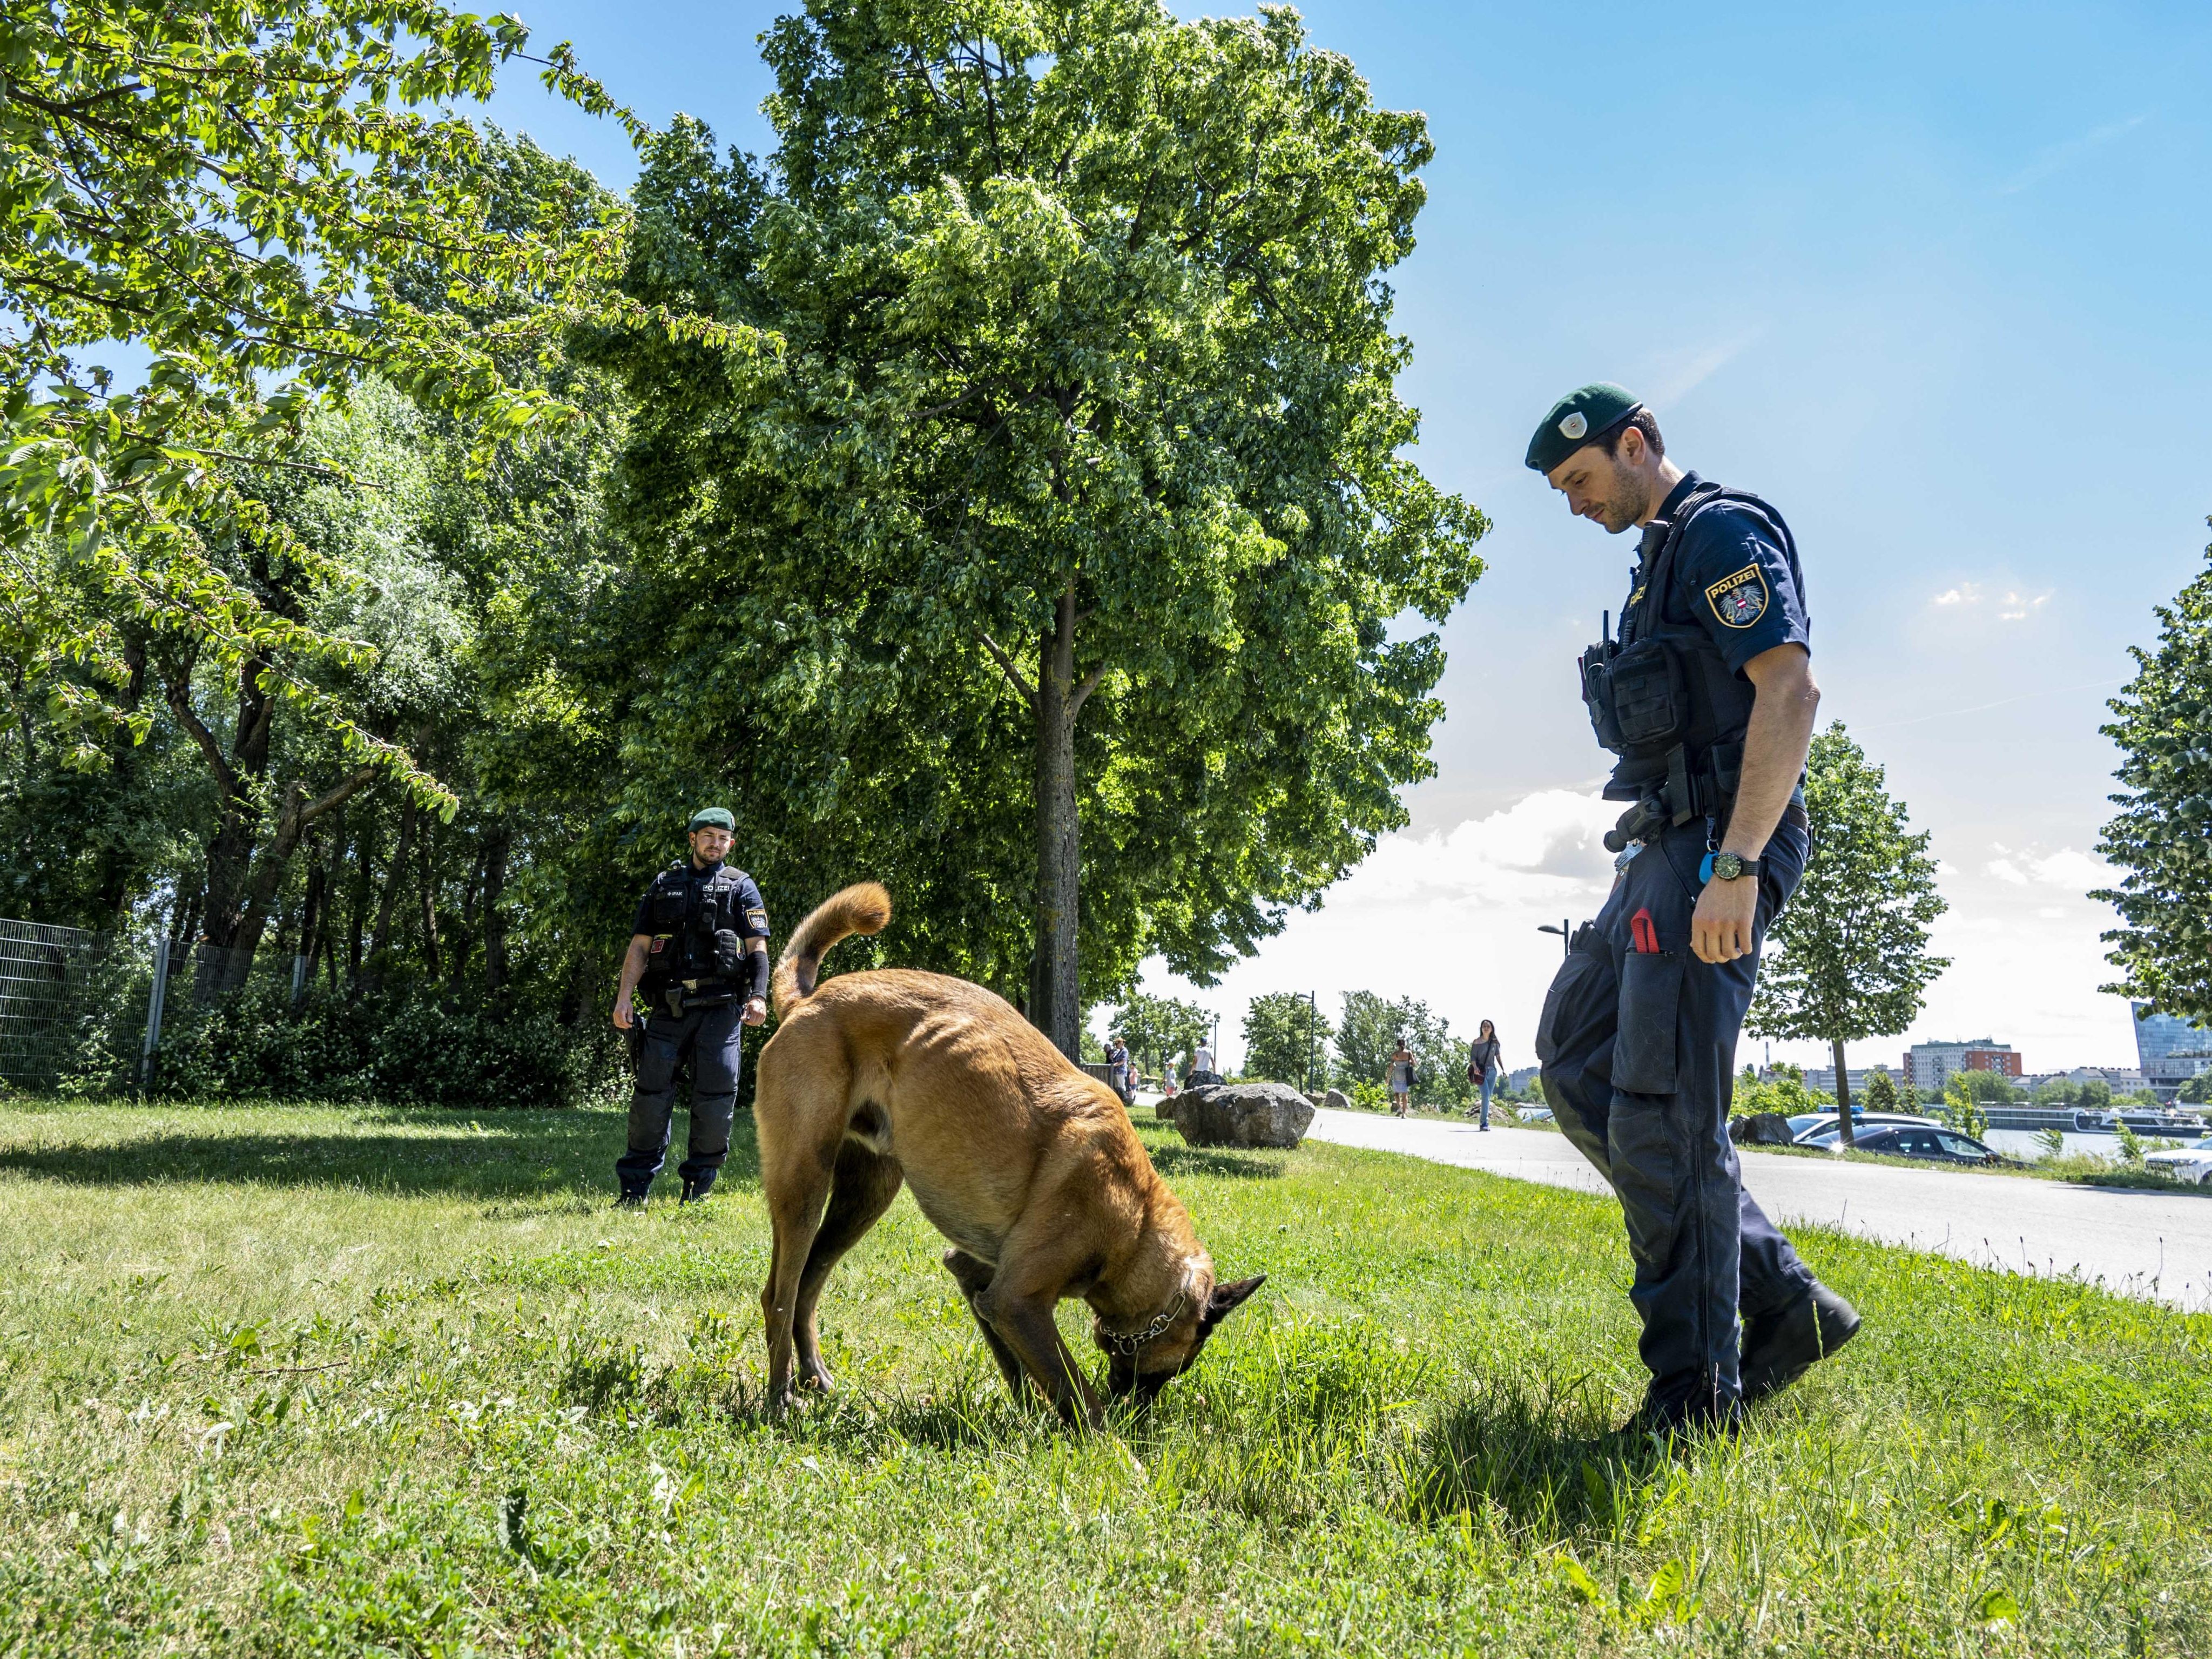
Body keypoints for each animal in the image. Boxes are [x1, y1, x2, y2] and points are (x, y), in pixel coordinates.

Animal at [752, 885, 1256, 1433]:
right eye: (1177, 1365)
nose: (1137, 1412)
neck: (1136, 1218)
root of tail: (807, 1001)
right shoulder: (1016, 1301)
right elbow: (1076, 1391)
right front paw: (1111, 1444)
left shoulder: (979, 1278)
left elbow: (1017, 1364)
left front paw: (1031, 1414)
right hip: (805, 1184)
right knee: (779, 1296)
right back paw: (780, 1399)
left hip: (864, 1197)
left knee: (807, 1286)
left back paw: (813, 1377)